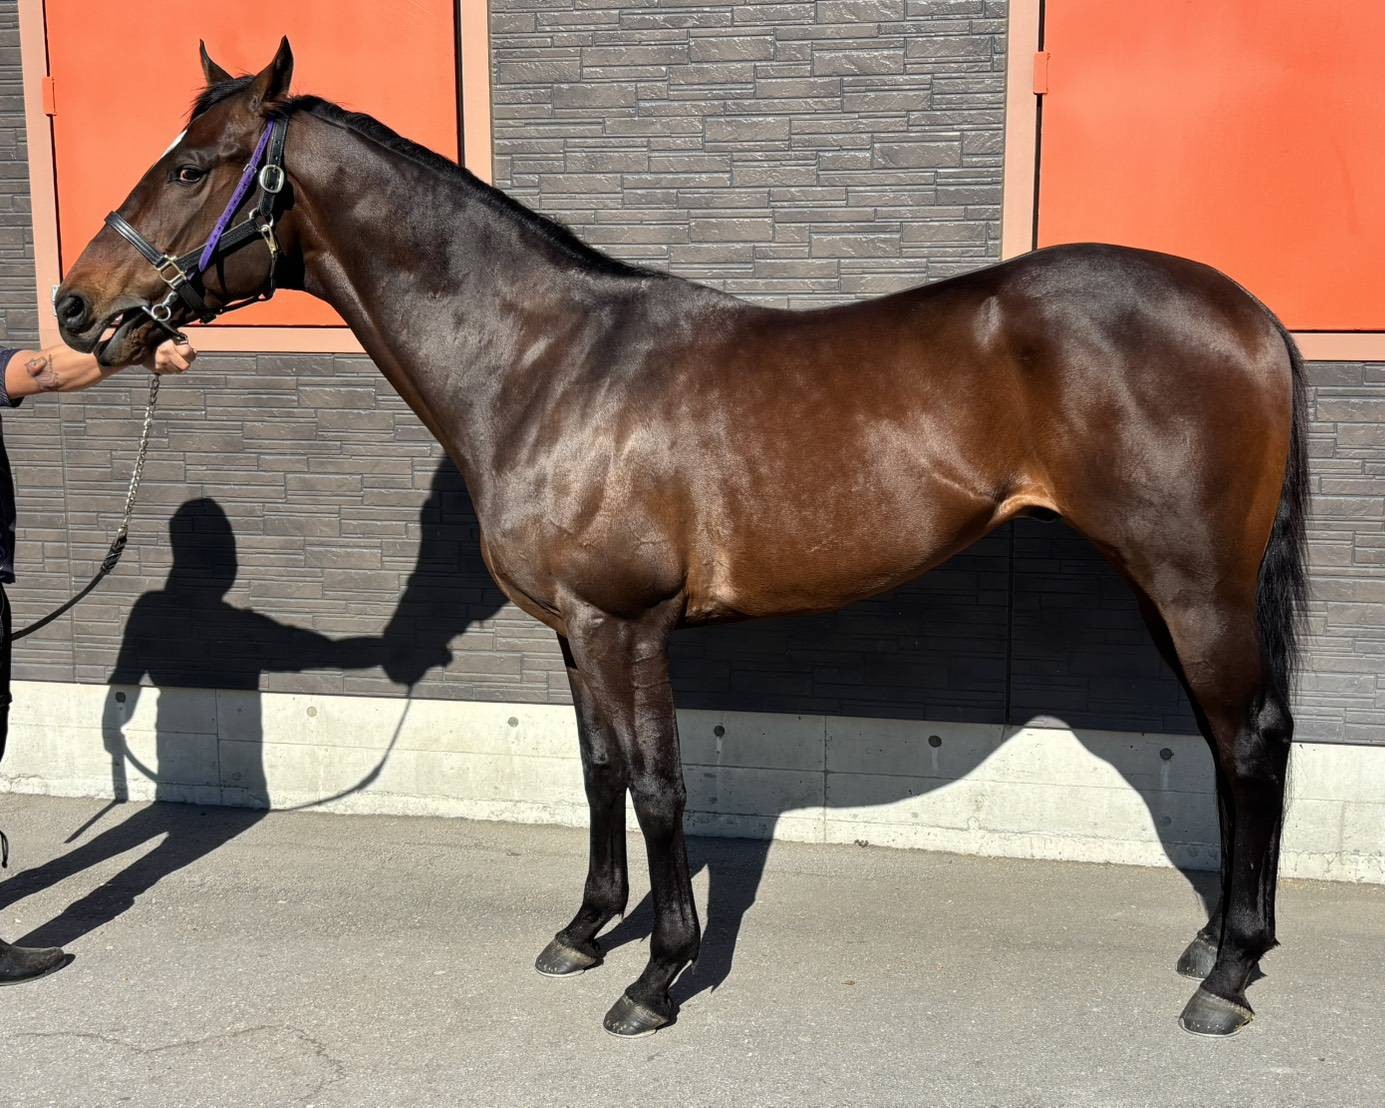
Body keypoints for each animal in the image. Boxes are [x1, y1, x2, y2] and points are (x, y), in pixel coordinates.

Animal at [54, 39, 1306, 1040]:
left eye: (193, 166)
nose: (74, 308)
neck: (544, 364)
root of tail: (1243, 312)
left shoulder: (629, 626)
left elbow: (659, 785)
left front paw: (655, 977)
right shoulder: (575, 631)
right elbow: (599, 768)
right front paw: (582, 930)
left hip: (1192, 588)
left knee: (1248, 741)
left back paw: (1229, 975)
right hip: (1161, 589)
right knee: (1223, 741)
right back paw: (1213, 944)